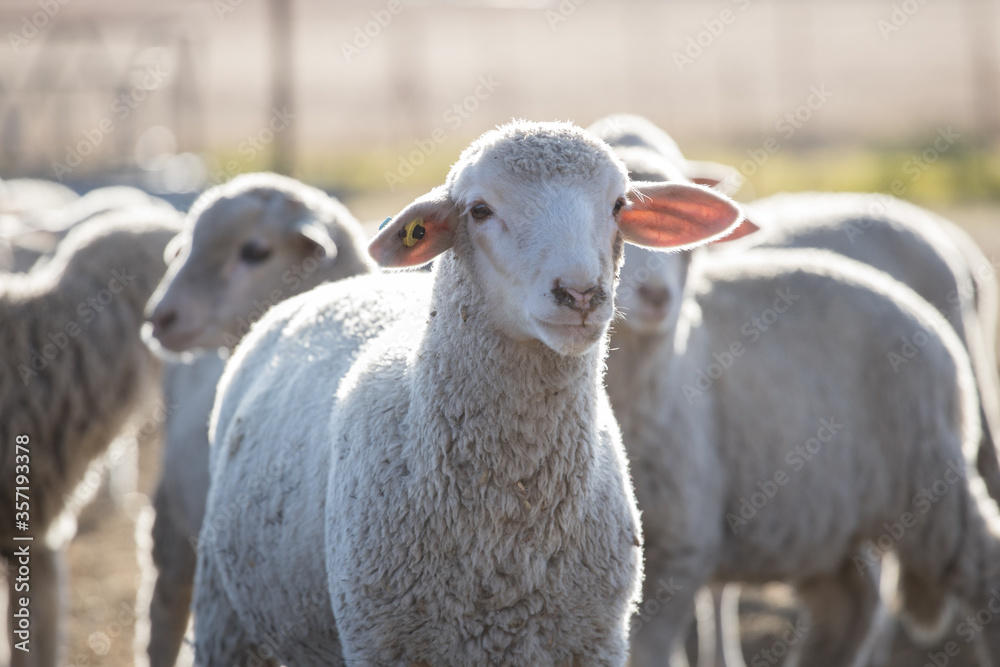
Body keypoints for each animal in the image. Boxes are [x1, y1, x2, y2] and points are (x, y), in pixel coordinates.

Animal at [192, 120, 748, 665]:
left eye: (617, 206)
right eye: (479, 210)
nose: (581, 294)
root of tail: (336, 289)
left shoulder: (592, 641)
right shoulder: (383, 642)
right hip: (221, 608)